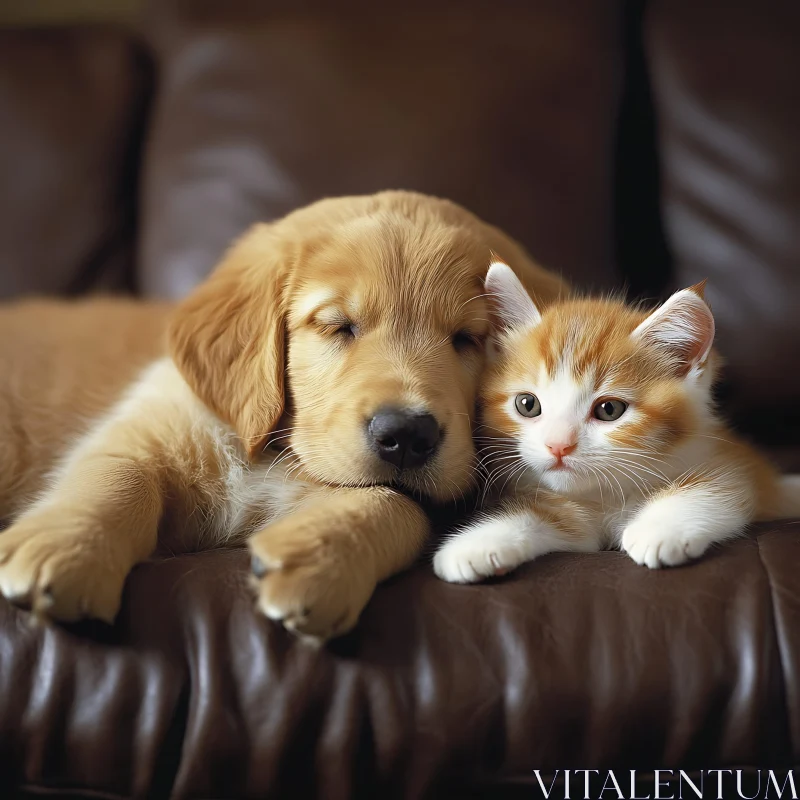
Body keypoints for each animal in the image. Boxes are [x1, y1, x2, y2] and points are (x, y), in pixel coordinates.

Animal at [0, 191, 564, 640]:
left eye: (467, 338)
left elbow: (396, 501)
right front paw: (67, 551)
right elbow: (115, 475)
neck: (272, 452)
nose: (407, 435)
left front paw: (318, 561)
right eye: (338, 326)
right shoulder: (151, 420)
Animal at [438, 262, 800, 580]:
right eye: (527, 405)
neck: (605, 495)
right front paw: (475, 545)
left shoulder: (722, 458)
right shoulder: (572, 519)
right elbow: (545, 517)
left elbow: (722, 486)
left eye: (609, 409)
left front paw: (659, 529)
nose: (558, 445)